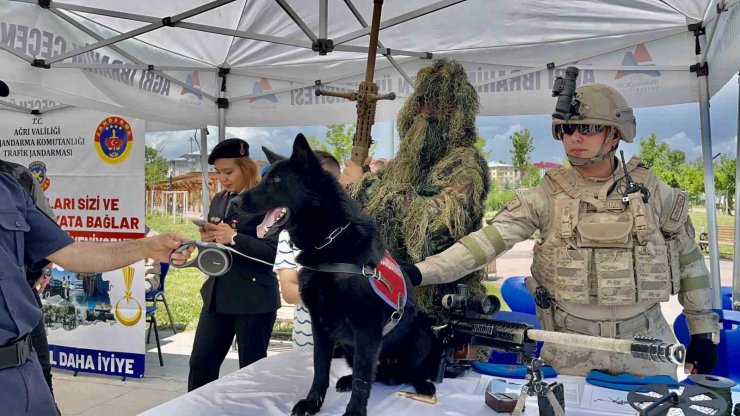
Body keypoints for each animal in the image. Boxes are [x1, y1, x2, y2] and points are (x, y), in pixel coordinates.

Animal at [237, 135, 436, 414]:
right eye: (263, 179)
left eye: (275, 181)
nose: (235, 201)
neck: (329, 242)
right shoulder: (321, 326)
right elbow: (321, 369)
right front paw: (313, 402)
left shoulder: (367, 329)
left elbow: (363, 379)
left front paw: (354, 411)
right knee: (374, 374)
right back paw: (346, 380)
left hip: (422, 332)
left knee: (403, 372)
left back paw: (422, 384)